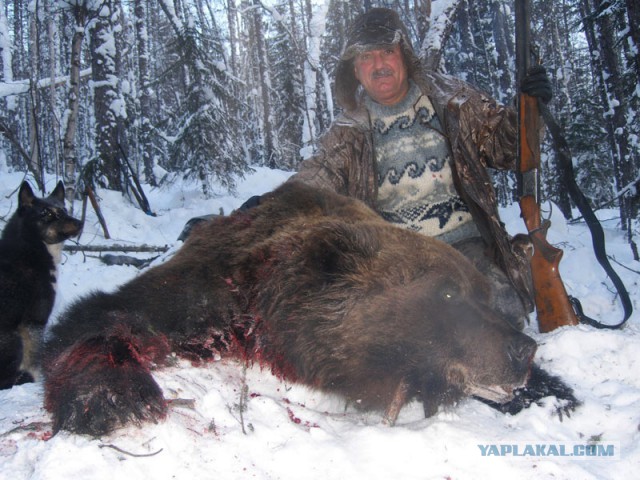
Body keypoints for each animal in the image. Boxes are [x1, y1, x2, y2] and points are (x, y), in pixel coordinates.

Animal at [43, 181, 576, 436]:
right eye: (447, 294)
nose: (522, 351)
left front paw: (558, 393)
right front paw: (116, 400)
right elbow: (100, 317)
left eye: (483, 294)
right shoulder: (203, 290)